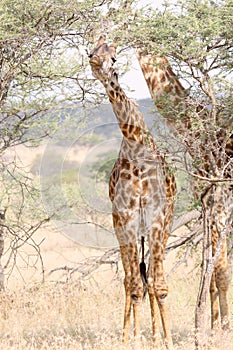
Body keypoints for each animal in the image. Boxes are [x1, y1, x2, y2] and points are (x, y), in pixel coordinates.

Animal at [88, 37, 176, 348]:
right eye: (91, 53)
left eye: (113, 55)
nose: (101, 65)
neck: (134, 142)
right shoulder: (125, 217)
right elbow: (135, 284)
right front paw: (133, 339)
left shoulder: (157, 216)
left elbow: (159, 285)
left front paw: (167, 340)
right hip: (127, 227)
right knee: (133, 279)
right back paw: (132, 334)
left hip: (157, 226)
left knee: (150, 276)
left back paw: (155, 334)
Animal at [136, 50, 232, 330]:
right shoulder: (207, 203)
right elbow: (210, 272)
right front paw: (209, 328)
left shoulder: (221, 202)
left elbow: (221, 273)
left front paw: (223, 329)